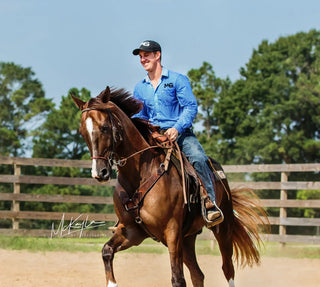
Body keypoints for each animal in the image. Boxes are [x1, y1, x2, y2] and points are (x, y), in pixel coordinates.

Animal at [72, 87, 268, 287]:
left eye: (104, 127)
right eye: (82, 132)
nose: (99, 172)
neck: (142, 174)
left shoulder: (172, 232)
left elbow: (177, 279)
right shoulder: (132, 232)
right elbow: (106, 251)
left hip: (223, 228)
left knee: (227, 268)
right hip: (187, 238)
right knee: (198, 274)